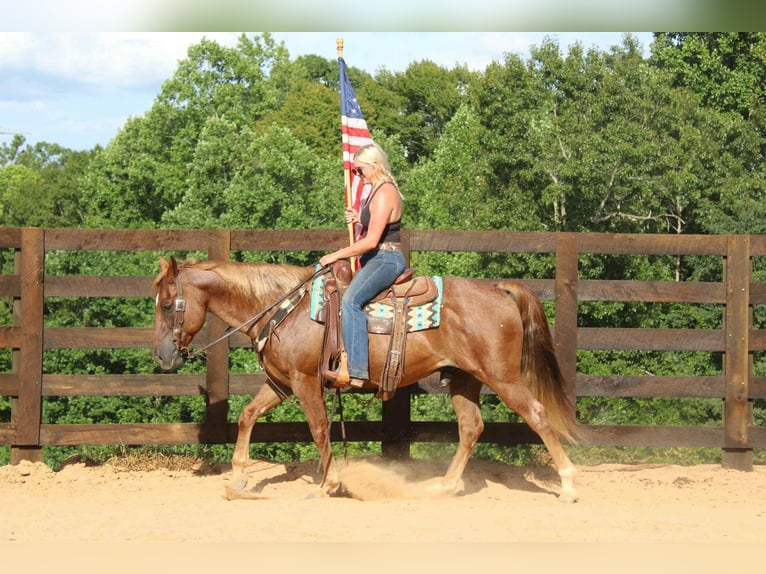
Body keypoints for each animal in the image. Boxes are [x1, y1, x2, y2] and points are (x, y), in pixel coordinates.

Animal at [152, 255, 580, 502]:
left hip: (503, 378)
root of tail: (497, 289)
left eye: (168, 303)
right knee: (471, 427)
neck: (284, 308)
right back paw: (444, 485)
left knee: (537, 415)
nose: (161, 355)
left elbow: (319, 429)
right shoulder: (281, 383)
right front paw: (239, 479)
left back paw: (569, 485)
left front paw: (329, 483)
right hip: (463, 379)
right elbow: (247, 416)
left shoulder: (305, 382)